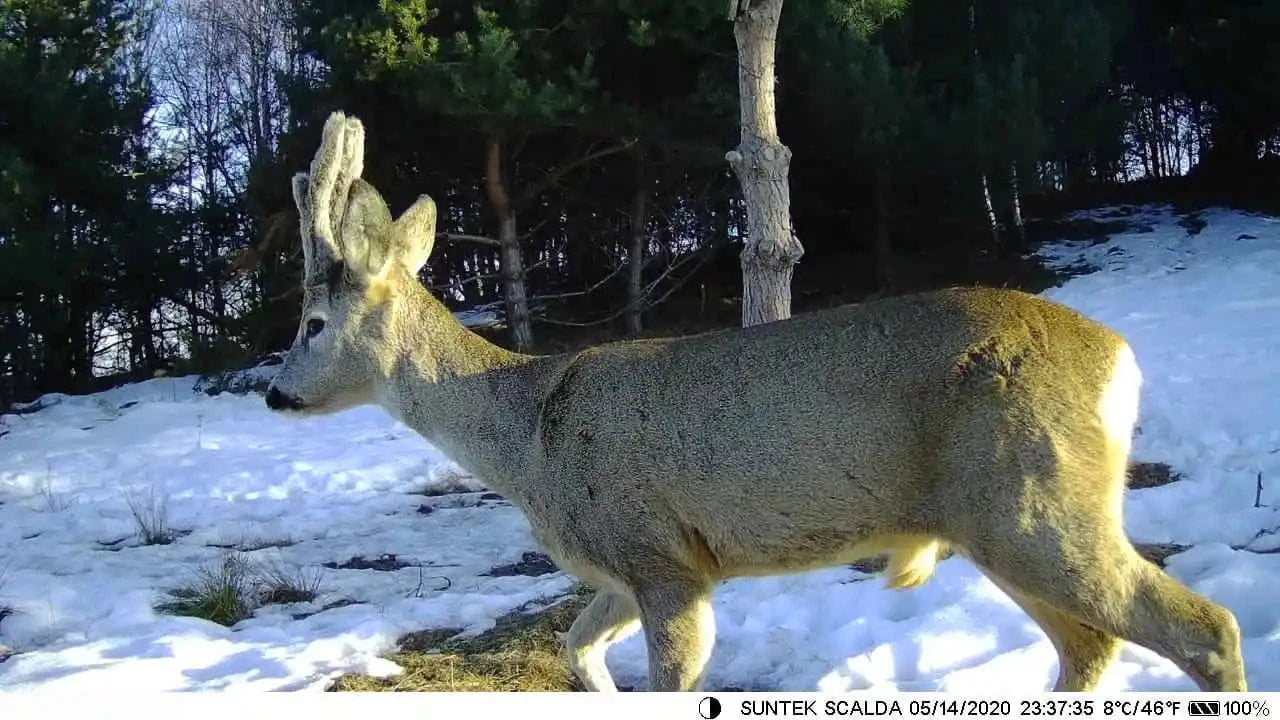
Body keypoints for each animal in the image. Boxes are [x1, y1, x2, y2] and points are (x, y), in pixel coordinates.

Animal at [264, 110, 1244, 691]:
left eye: (311, 322)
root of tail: (1121, 360)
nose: (274, 395)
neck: (529, 437)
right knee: (1092, 647)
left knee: (1204, 626)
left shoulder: (659, 556)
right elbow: (576, 646)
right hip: (1002, 521)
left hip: (1034, 503)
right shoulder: (631, 573)